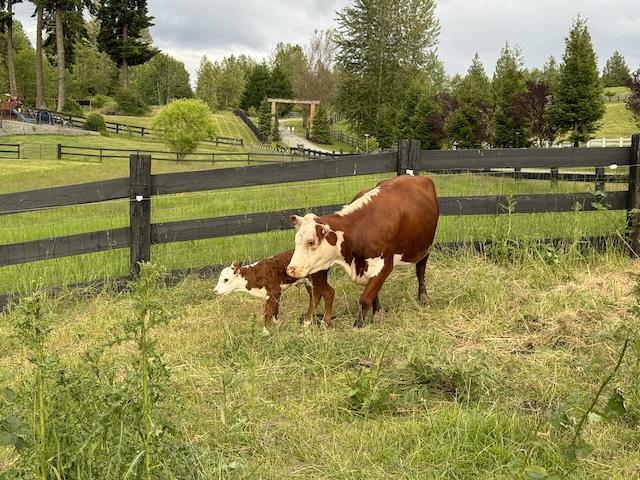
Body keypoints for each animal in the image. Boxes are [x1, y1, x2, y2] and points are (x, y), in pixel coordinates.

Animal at [286, 174, 439, 328]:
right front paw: (377, 313)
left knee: (421, 270)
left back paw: (423, 297)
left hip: (425, 247)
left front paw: (358, 324)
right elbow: (372, 292)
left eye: (311, 242)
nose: (290, 269)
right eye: (296, 240)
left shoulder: (384, 264)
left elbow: (365, 298)